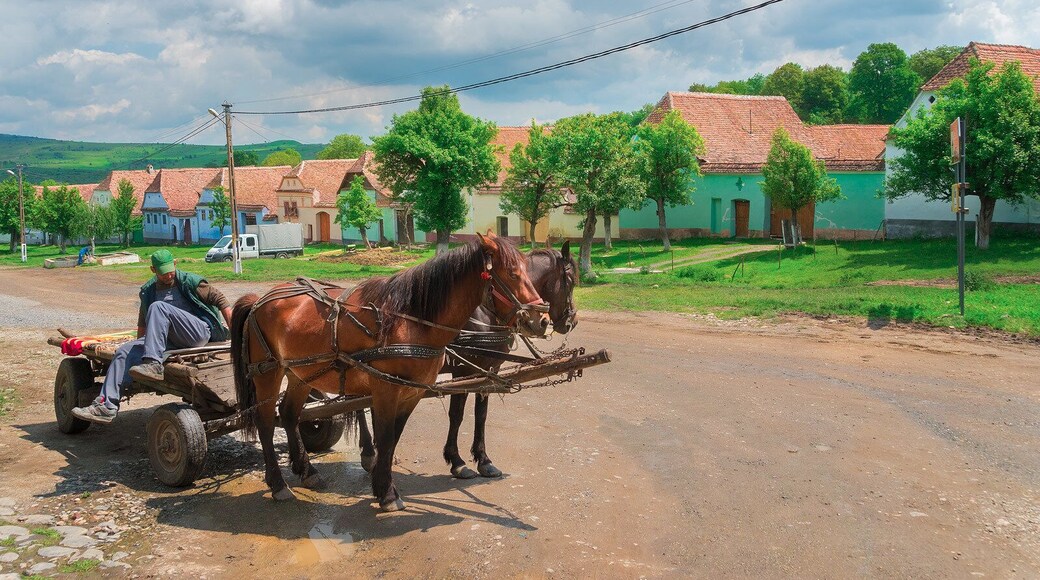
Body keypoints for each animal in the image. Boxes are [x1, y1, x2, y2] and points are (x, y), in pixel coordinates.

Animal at [230, 234, 550, 510]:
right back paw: (278, 484)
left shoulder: (411, 394)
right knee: (266, 423)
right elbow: (386, 438)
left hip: (300, 375)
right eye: (512, 273)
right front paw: (387, 493)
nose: (543, 320)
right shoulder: (387, 390)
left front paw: (382, 485)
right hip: (268, 374)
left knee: (289, 414)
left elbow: (394, 439)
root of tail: (259, 300)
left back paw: (306, 471)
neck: (410, 321)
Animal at [350, 241, 579, 479]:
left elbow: (481, 414)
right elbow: (456, 415)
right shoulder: (463, 372)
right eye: (570, 281)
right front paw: (457, 461)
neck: (486, 313)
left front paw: (484, 460)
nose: (572, 321)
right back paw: (369, 453)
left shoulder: (488, 370)